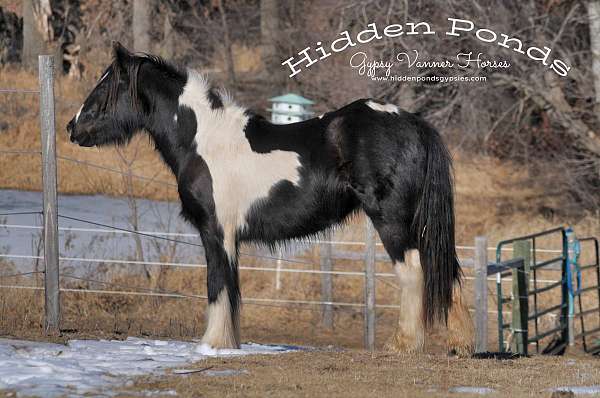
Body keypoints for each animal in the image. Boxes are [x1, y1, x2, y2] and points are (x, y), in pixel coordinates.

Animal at [67, 42, 474, 354]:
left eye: (106, 88)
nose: (73, 128)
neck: (203, 141)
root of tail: (412, 122)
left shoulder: (216, 232)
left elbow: (217, 285)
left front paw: (214, 344)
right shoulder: (228, 237)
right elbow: (232, 288)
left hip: (391, 219)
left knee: (414, 270)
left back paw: (403, 344)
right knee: (443, 267)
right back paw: (460, 344)